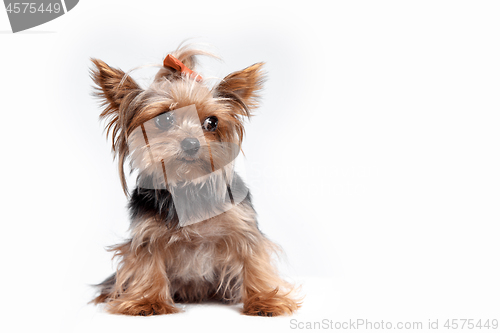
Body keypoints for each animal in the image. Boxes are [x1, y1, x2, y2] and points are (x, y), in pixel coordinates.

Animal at [90, 44, 300, 316]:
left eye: (212, 122)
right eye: (164, 119)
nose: (191, 144)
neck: (188, 185)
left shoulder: (243, 228)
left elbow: (255, 262)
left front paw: (265, 299)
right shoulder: (147, 234)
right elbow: (147, 264)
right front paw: (146, 301)